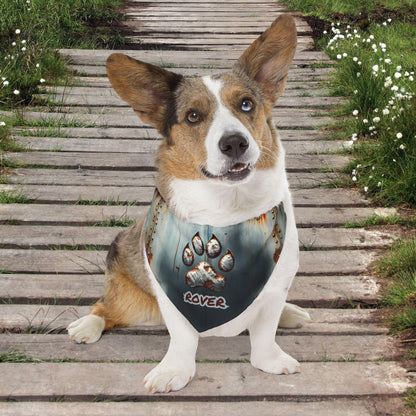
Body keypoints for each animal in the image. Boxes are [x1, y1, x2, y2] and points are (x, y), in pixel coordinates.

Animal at [67, 14, 312, 394]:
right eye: (193, 116)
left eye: (246, 104)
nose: (235, 143)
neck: (226, 211)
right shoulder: (170, 294)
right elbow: (182, 337)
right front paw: (173, 372)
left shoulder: (276, 284)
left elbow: (265, 330)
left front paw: (270, 359)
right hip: (130, 297)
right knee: (106, 308)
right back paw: (87, 325)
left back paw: (291, 313)